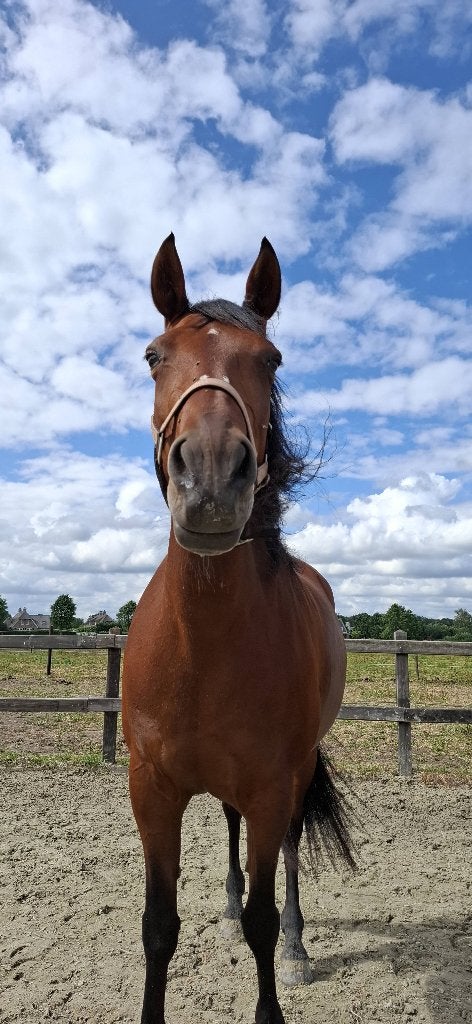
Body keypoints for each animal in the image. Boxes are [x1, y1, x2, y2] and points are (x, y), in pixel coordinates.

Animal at [122, 233, 355, 1024]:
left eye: (271, 360)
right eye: (155, 355)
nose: (213, 479)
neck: (203, 647)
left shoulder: (270, 786)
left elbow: (262, 917)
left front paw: (279, 966)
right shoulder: (152, 790)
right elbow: (158, 925)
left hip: (295, 773)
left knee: (285, 858)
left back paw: (299, 945)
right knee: (226, 827)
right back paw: (224, 902)